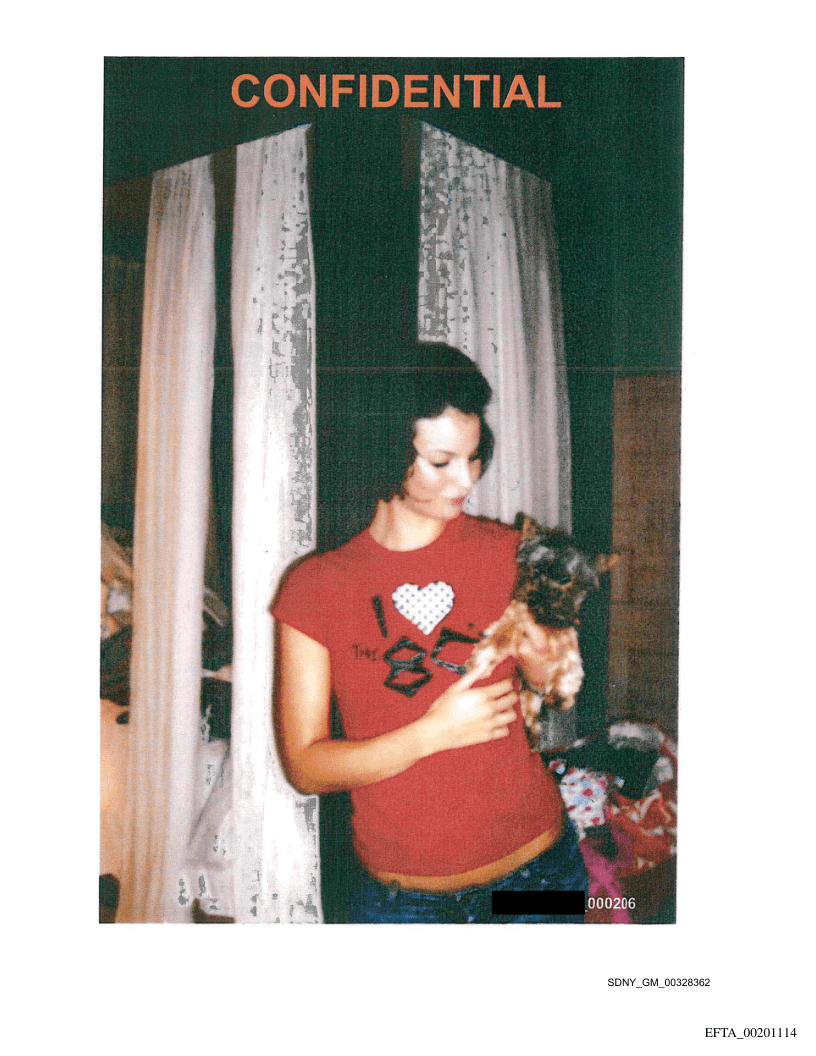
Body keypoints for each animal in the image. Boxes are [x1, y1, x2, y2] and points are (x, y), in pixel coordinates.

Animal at [466, 516, 618, 749]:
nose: (540, 597)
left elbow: (571, 662)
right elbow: (498, 636)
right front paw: (482, 660)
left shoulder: (566, 631)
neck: (543, 618)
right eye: (535, 571)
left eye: (565, 579)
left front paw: (563, 691)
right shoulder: (516, 614)